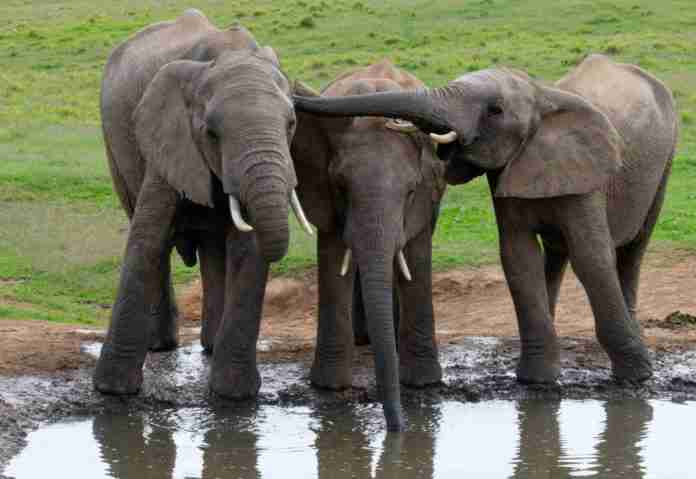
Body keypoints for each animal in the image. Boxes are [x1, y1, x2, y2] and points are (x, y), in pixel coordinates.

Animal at [94, 9, 312, 397]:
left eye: (291, 124)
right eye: (212, 133)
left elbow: (246, 248)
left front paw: (234, 394)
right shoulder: (168, 135)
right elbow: (147, 235)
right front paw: (112, 390)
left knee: (213, 248)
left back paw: (209, 345)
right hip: (114, 143)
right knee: (144, 224)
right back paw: (161, 346)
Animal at [291, 60, 446, 431]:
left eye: (410, 192)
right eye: (342, 188)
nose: (398, 428)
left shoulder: (425, 199)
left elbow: (416, 259)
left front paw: (424, 383)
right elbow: (334, 262)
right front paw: (329, 387)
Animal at [293, 54, 678, 385]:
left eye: (495, 110)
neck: (541, 95)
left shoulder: (588, 174)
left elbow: (592, 256)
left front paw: (637, 376)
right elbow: (518, 256)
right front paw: (537, 380)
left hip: (667, 155)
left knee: (634, 245)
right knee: (557, 251)